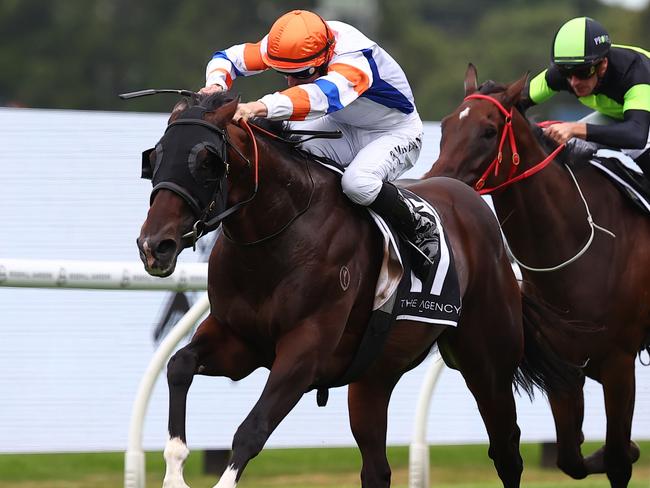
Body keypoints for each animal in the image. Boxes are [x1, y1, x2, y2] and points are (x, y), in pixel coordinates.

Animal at [135, 91, 576, 488]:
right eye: (154, 158)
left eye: (207, 161)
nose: (154, 245)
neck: (279, 234)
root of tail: (473, 202)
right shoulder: (239, 342)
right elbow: (178, 366)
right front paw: (174, 472)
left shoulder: (305, 351)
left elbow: (252, 429)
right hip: (373, 378)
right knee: (377, 470)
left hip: (488, 365)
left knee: (506, 451)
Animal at [426, 63, 648, 488]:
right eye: (444, 126)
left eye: (489, 130)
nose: (440, 182)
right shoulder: (567, 368)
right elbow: (570, 458)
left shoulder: (619, 364)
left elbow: (617, 459)